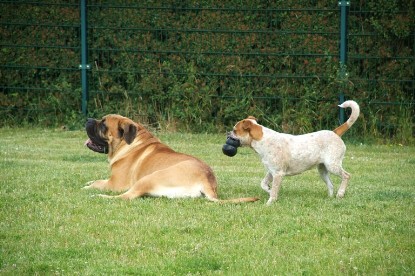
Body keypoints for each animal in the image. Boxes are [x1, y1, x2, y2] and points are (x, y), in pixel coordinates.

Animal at [83, 113, 260, 203]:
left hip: (148, 178)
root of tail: (206, 181)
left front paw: (88, 187)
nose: (88, 119)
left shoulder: (116, 184)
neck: (131, 143)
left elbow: (98, 183)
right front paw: (89, 182)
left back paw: (98, 197)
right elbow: (96, 180)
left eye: (103, 125)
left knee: (126, 196)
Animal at [229, 100, 360, 204]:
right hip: (322, 170)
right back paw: (331, 198)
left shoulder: (278, 173)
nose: (228, 133)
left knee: (346, 176)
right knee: (331, 185)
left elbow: (274, 191)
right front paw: (269, 191)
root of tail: (335, 132)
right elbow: (264, 184)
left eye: (235, 130)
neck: (263, 140)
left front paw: (269, 203)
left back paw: (340, 194)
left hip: (332, 165)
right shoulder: (271, 171)